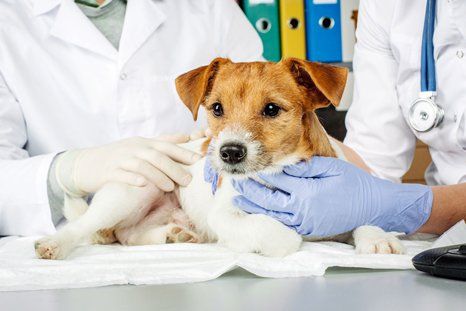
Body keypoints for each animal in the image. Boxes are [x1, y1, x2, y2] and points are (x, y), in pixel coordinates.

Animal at [35, 58, 404, 260]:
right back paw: (54, 244)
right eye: (216, 108)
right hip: (133, 190)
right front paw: (284, 234)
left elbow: (364, 215)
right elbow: (277, 233)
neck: (282, 173)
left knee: (129, 236)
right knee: (86, 226)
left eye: (272, 109)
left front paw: (377, 238)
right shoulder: (225, 215)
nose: (229, 152)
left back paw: (175, 235)